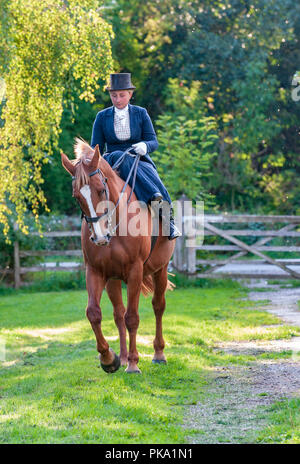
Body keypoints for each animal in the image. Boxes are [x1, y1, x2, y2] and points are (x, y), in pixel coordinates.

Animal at [61, 140, 175, 374]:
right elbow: (94, 313)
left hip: (160, 270)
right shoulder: (95, 271)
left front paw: (133, 364)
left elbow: (133, 318)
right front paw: (109, 359)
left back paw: (158, 354)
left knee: (158, 306)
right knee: (118, 314)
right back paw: (121, 357)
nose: (100, 237)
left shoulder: (135, 272)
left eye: (101, 189)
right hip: (113, 280)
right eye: (77, 197)